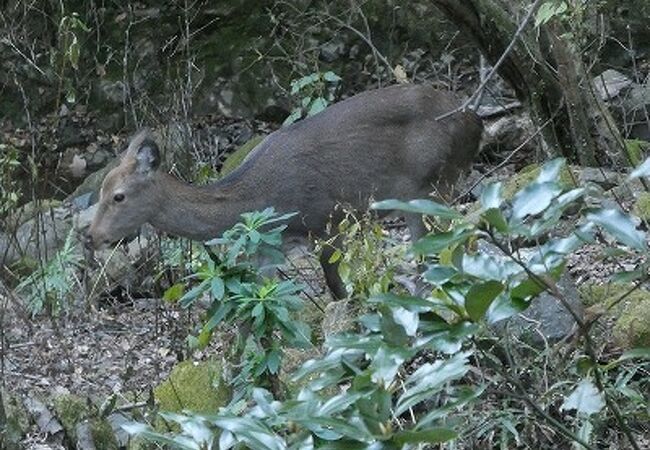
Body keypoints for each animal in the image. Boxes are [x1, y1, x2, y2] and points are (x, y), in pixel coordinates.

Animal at [85, 85, 480, 298]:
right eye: (100, 190)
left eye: (118, 196)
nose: (91, 236)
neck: (264, 201)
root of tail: (473, 121)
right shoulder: (268, 250)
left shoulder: (329, 219)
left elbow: (334, 284)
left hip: (435, 182)